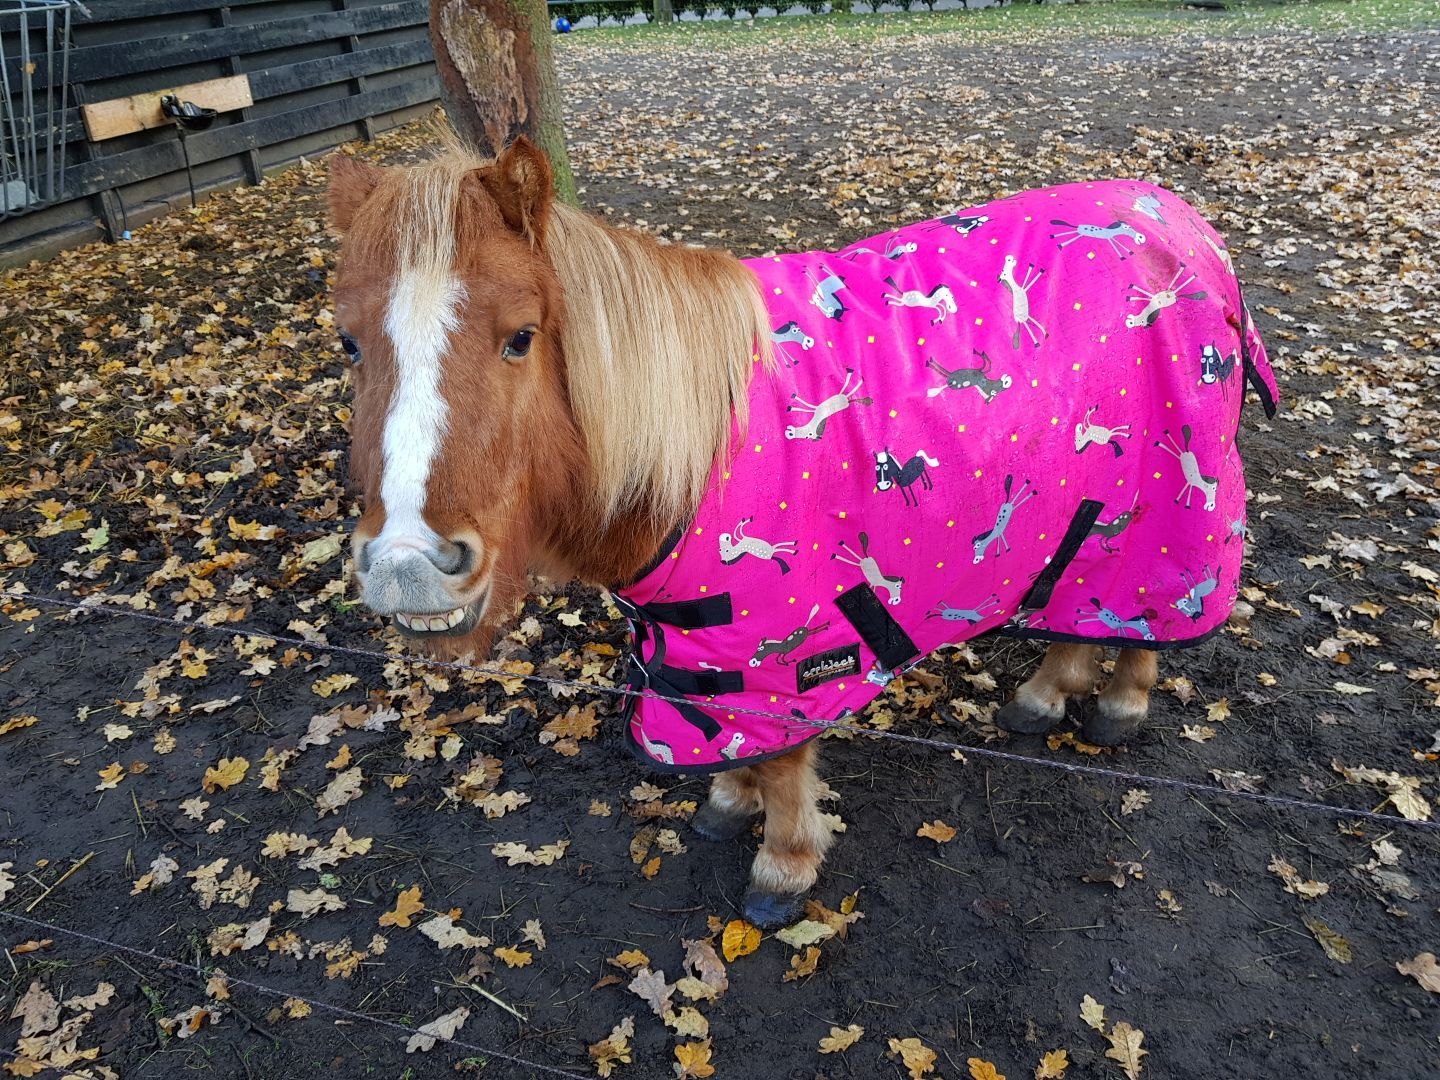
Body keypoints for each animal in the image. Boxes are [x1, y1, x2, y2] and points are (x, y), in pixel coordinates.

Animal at [327, 137, 1277, 929]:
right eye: (349, 343)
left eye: (521, 336)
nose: (408, 566)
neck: (702, 442)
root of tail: (1185, 225)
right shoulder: (699, 643)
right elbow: (724, 728)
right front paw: (727, 802)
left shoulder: (785, 641)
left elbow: (787, 763)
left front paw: (783, 866)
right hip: (1086, 522)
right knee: (1079, 608)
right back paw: (1047, 696)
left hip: (1175, 515)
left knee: (1151, 612)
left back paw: (1118, 704)